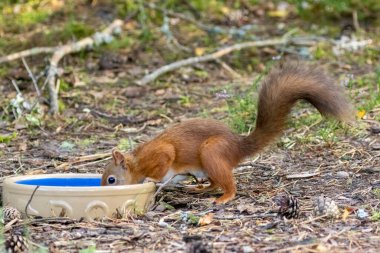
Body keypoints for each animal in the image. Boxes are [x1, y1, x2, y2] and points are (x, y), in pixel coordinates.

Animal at [101, 62, 354, 204]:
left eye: (111, 179)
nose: (104, 189)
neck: (137, 162)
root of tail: (238, 146)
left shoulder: (161, 153)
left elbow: (165, 163)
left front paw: (152, 180)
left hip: (212, 153)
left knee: (228, 185)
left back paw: (224, 197)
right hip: (206, 165)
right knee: (213, 183)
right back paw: (199, 188)